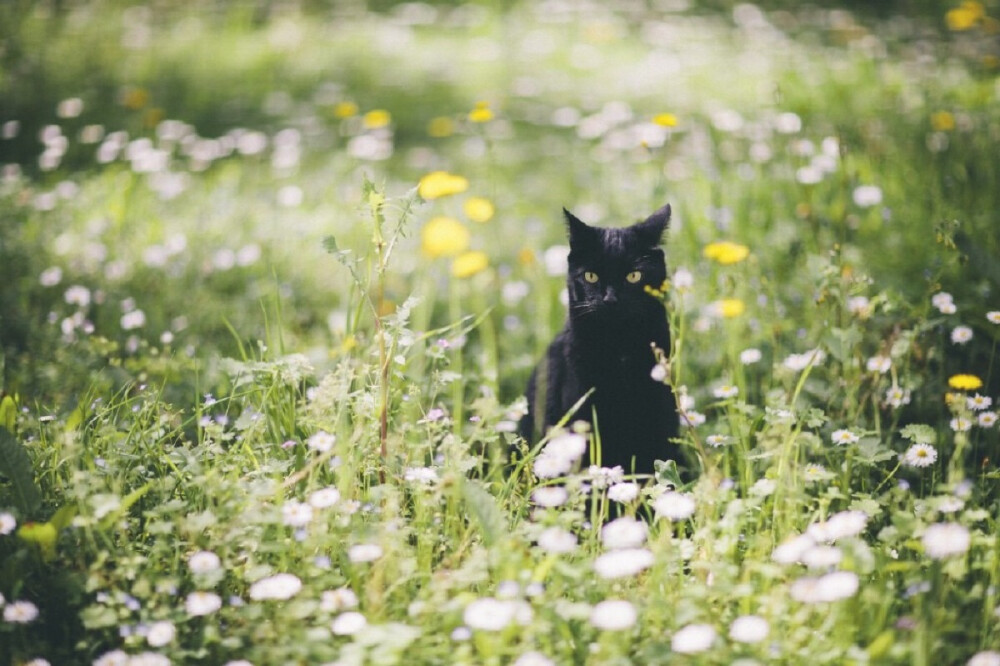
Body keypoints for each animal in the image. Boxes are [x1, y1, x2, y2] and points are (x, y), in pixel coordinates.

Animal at [524, 205, 680, 474]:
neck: (619, 347)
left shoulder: (660, 409)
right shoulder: (581, 411)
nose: (610, 299)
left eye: (634, 276)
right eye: (591, 276)